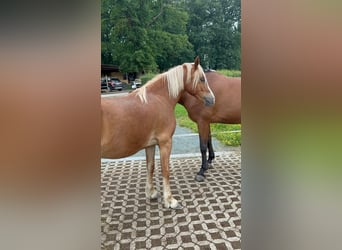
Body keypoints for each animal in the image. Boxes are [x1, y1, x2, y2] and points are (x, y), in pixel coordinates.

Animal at [100, 57, 215, 208]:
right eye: (202, 79)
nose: (212, 99)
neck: (159, 98)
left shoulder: (150, 144)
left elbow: (151, 167)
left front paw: (151, 192)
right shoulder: (165, 142)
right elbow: (165, 170)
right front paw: (170, 200)